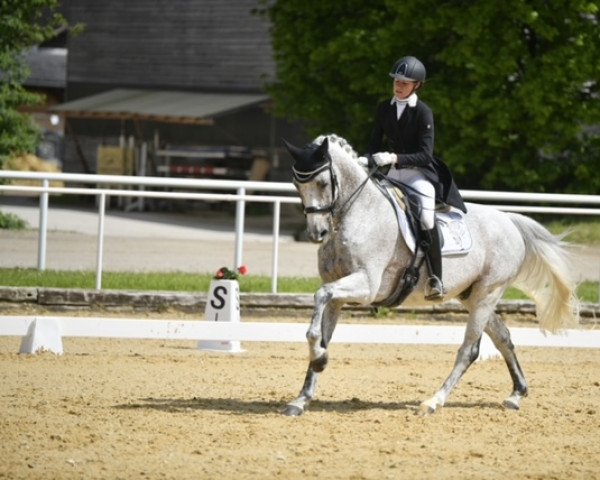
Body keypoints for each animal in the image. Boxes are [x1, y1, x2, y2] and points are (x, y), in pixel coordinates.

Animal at [284, 134, 580, 416]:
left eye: (323, 183)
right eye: (297, 185)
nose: (317, 233)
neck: (360, 212)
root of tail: (509, 220)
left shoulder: (367, 285)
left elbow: (319, 297)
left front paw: (319, 360)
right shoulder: (337, 295)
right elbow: (322, 328)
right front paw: (302, 396)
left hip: (488, 292)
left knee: (469, 350)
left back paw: (433, 401)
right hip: (473, 295)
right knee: (502, 336)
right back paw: (516, 394)